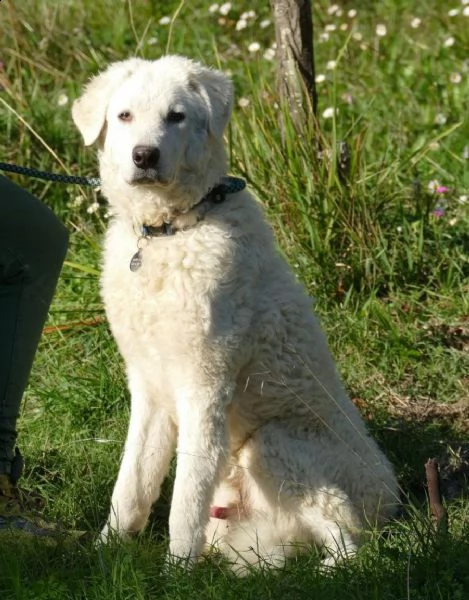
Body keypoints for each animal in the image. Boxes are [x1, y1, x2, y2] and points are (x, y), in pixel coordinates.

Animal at [73, 55, 398, 572]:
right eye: (124, 116)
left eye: (176, 116)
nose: (144, 156)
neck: (171, 232)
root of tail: (392, 497)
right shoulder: (149, 386)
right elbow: (131, 486)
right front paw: (107, 553)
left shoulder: (204, 386)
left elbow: (185, 500)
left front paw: (175, 574)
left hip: (274, 444)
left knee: (350, 545)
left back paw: (331, 573)